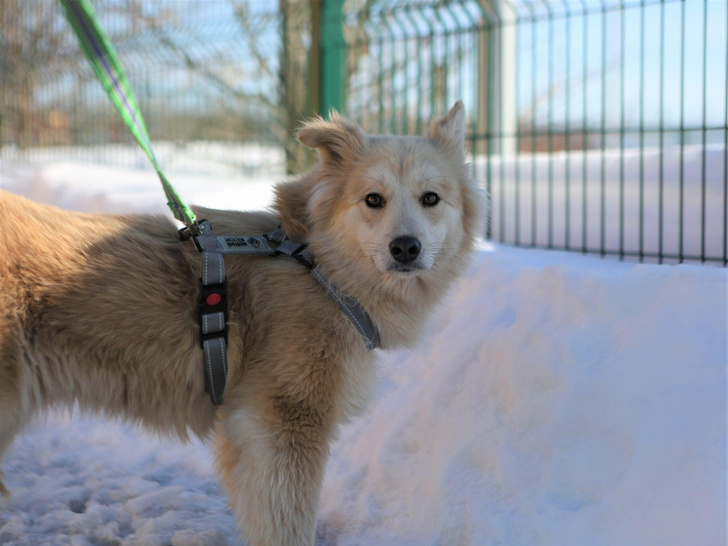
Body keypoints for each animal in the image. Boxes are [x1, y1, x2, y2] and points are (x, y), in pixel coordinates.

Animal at [0, 102, 484, 544]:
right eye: (373, 200)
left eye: (431, 198)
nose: (406, 247)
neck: (319, 266)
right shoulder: (283, 423)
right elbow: (287, 524)